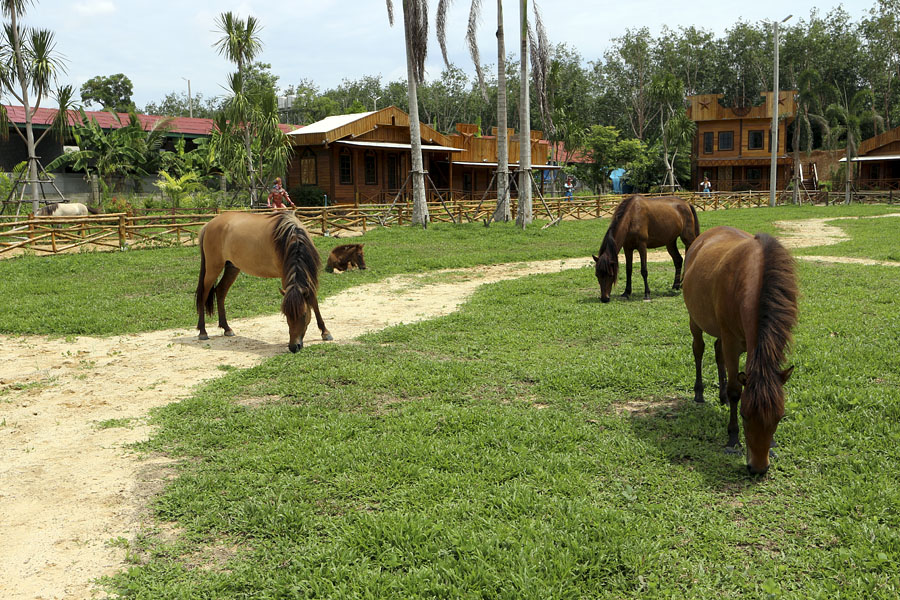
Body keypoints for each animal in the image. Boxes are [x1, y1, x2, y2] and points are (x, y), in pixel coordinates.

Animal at [195, 211, 333, 353]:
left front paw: (325, 332)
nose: (294, 347)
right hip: (213, 268)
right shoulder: (285, 276)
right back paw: (203, 331)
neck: (292, 237)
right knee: (203, 294)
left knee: (220, 291)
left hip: (232, 267)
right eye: (286, 315)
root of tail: (209, 224)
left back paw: (227, 328)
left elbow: (314, 302)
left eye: (304, 314)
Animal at [682, 226, 798, 475]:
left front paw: (773, 444)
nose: (758, 468)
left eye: (780, 416)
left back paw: (722, 396)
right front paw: (733, 439)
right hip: (696, 321)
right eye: (744, 415)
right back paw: (699, 393)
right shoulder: (732, 341)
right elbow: (736, 390)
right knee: (699, 350)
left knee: (718, 353)